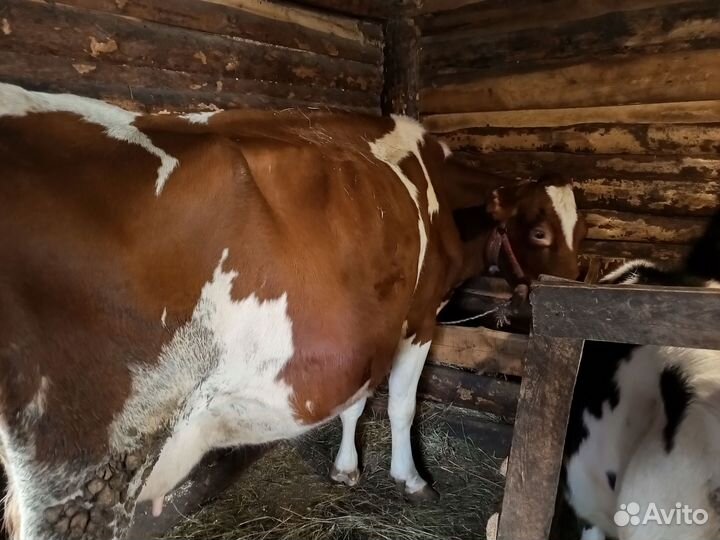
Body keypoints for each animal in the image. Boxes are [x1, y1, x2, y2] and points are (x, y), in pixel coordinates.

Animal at [0, 82, 585, 540]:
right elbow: (400, 405)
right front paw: (411, 479)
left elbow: (354, 403)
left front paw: (346, 470)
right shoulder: (418, 318)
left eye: (580, 225)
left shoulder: (371, 325)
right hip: (90, 473)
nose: (574, 286)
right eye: (539, 231)